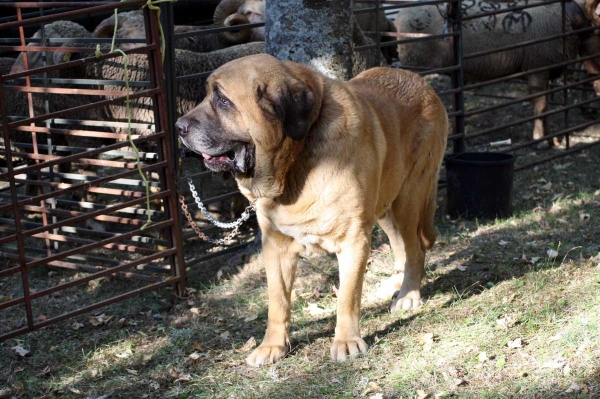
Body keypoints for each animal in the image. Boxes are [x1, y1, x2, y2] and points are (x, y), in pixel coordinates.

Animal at [176, 54, 448, 368]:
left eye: (222, 100)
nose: (178, 127)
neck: (295, 162)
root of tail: (422, 82)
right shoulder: (276, 246)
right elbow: (277, 302)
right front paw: (272, 346)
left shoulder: (353, 240)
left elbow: (347, 297)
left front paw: (346, 342)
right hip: (386, 206)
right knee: (401, 247)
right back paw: (396, 284)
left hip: (408, 198)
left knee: (416, 248)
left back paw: (408, 295)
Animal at [394, 0, 600, 146]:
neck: (568, 18)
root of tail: (399, 16)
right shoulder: (537, 67)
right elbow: (540, 105)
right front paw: (540, 139)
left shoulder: (546, 68)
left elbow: (546, 105)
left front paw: (551, 138)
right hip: (414, 63)